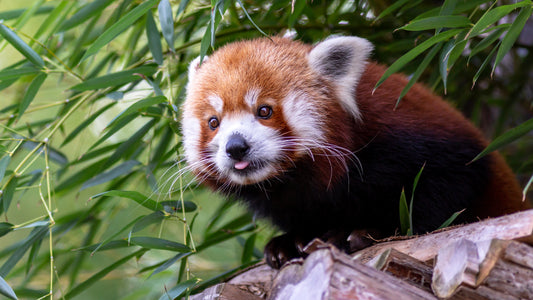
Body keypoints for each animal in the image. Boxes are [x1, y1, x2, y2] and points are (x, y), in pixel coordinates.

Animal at [181, 36, 528, 268]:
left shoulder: (414, 137)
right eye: (213, 122)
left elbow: (445, 190)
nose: (236, 146)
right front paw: (289, 242)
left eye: (264, 111)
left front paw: (372, 230)